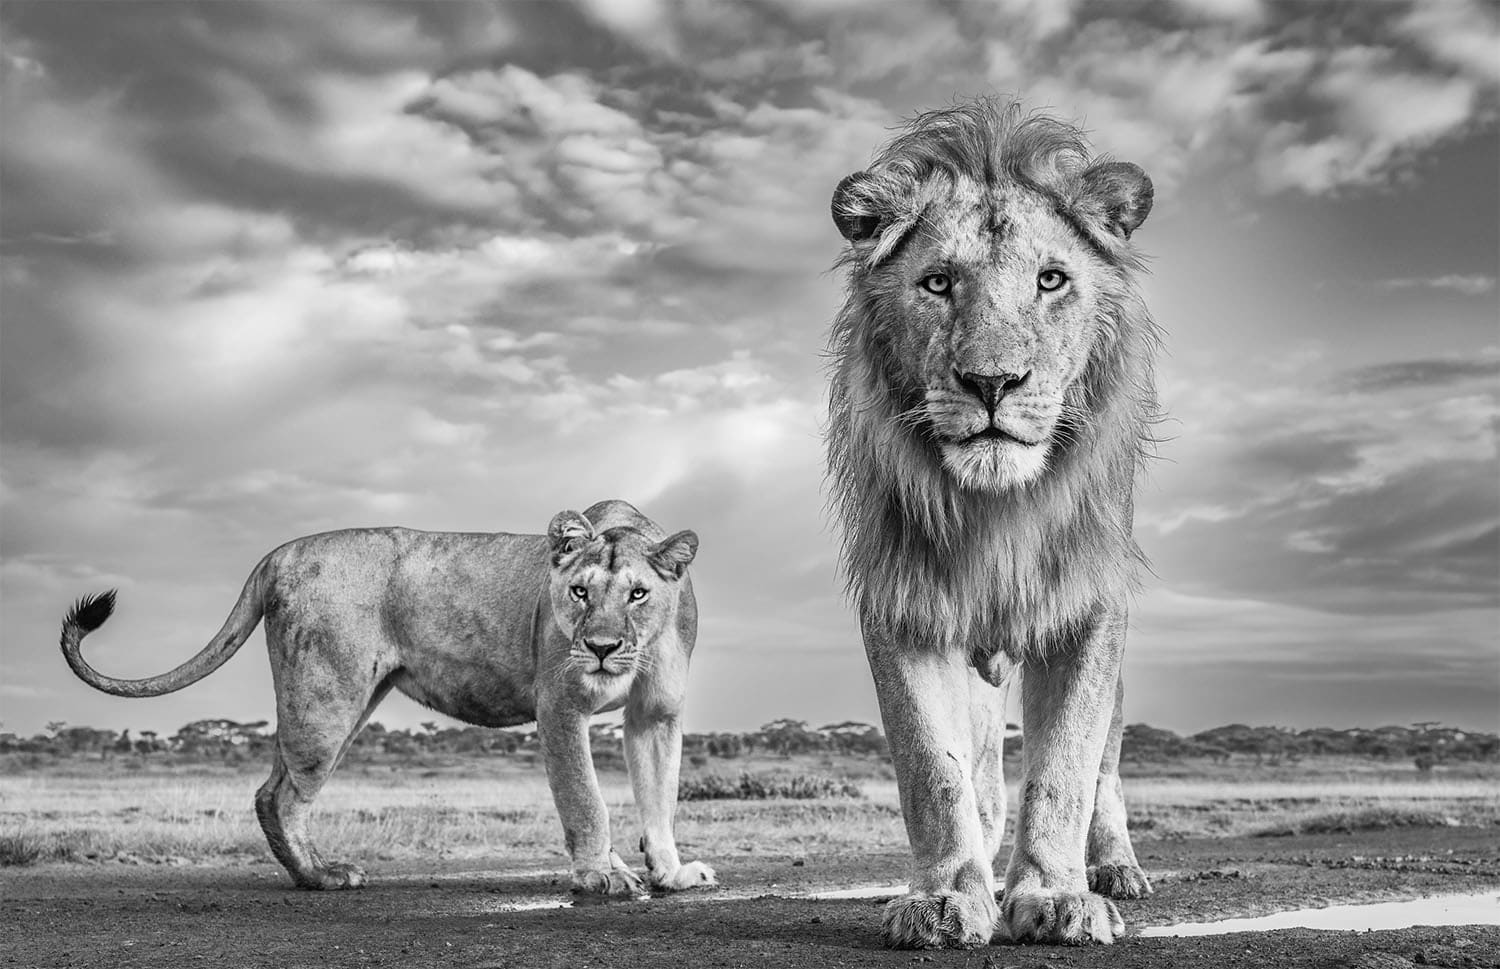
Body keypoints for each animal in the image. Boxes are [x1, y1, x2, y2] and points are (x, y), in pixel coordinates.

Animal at [59, 499, 716, 897]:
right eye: (579, 592)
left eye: (637, 594)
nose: (602, 648)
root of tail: (278, 553)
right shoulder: (559, 706)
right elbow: (586, 800)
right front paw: (601, 876)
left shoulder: (656, 716)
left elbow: (660, 798)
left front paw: (672, 873)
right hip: (326, 699)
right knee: (281, 795)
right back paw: (323, 875)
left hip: (340, 700)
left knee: (275, 785)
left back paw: (310, 873)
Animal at [825, 99, 1160, 948]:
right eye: (938, 282)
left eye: (1052, 279)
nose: (992, 382)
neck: (996, 509)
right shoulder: (903, 600)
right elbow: (933, 768)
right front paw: (944, 897)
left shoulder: (1090, 606)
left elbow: (1066, 768)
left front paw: (1058, 896)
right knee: (979, 771)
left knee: (1105, 769)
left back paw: (1116, 869)